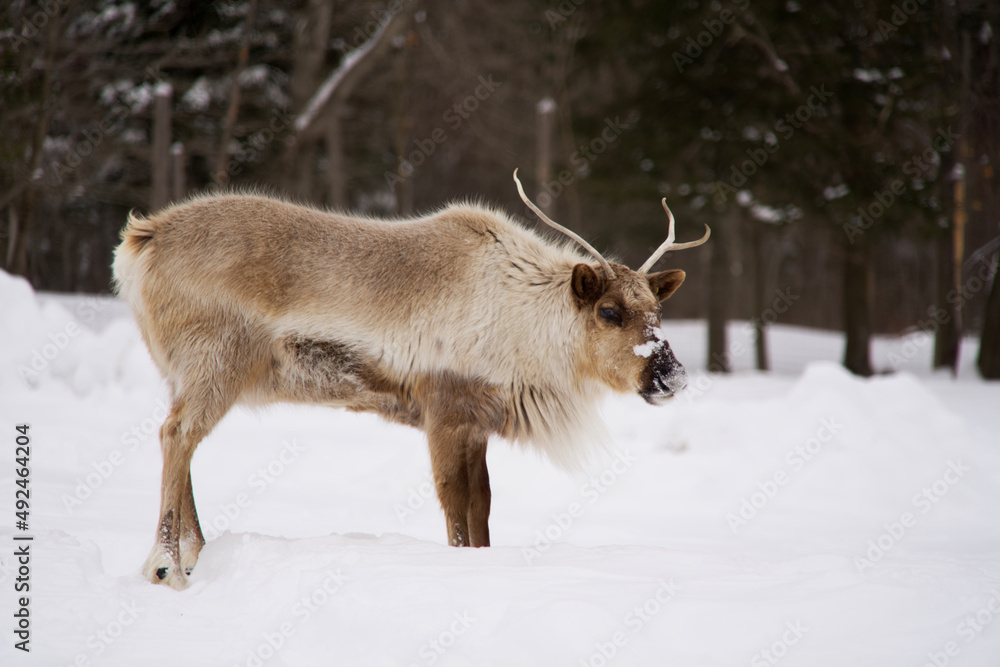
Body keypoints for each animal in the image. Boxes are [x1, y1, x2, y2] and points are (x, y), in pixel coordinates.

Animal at [111, 169, 709, 589]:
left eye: (656, 308)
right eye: (609, 311)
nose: (671, 376)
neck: (527, 328)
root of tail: (139, 240)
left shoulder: (476, 424)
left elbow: (482, 505)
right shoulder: (442, 411)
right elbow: (454, 506)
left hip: (186, 371)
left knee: (180, 440)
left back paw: (194, 553)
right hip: (216, 361)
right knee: (176, 434)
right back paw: (167, 565)